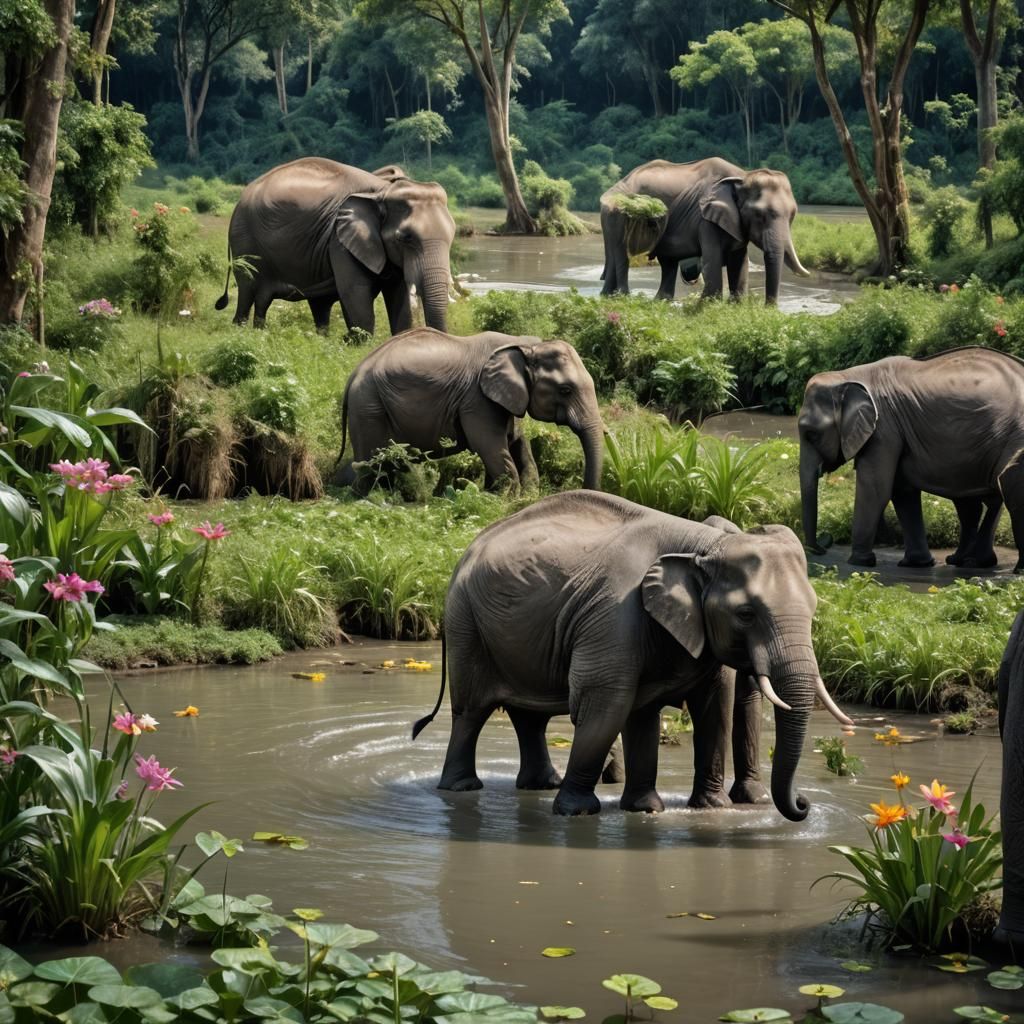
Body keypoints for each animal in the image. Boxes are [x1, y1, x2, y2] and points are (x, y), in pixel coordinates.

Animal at [215, 157, 455, 334]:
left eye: (452, 235)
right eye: (405, 238)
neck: (384, 190)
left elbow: (399, 297)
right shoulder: (339, 241)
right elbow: (355, 292)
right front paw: (358, 343)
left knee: (293, 302)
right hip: (244, 239)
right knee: (247, 289)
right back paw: (242, 333)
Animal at [334, 328, 604, 494]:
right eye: (565, 390)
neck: (527, 346)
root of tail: (353, 375)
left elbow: (517, 443)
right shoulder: (477, 400)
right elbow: (491, 447)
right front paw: (504, 501)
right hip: (369, 408)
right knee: (370, 464)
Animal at [412, 492, 853, 819]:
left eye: (814, 610)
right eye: (746, 614)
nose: (804, 804)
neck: (701, 543)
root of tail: (467, 550)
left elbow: (704, 706)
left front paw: (670, 810)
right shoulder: (614, 612)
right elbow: (607, 701)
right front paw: (578, 812)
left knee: (528, 715)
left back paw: (541, 785)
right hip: (466, 623)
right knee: (471, 710)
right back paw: (463, 788)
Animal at [599, 158, 810, 305]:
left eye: (792, 216)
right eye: (759, 215)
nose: (769, 308)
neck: (742, 176)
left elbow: (739, 262)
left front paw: (736, 306)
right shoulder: (705, 220)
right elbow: (713, 259)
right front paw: (706, 307)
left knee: (666, 262)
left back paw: (654, 301)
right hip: (615, 215)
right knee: (621, 254)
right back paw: (621, 297)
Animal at [799, 347, 1024, 572]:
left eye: (812, 435)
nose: (822, 547)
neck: (847, 376)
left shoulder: (884, 430)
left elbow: (876, 491)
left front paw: (859, 563)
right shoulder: (893, 431)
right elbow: (902, 492)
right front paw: (915, 564)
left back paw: (978, 563)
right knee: (980, 499)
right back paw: (967, 562)